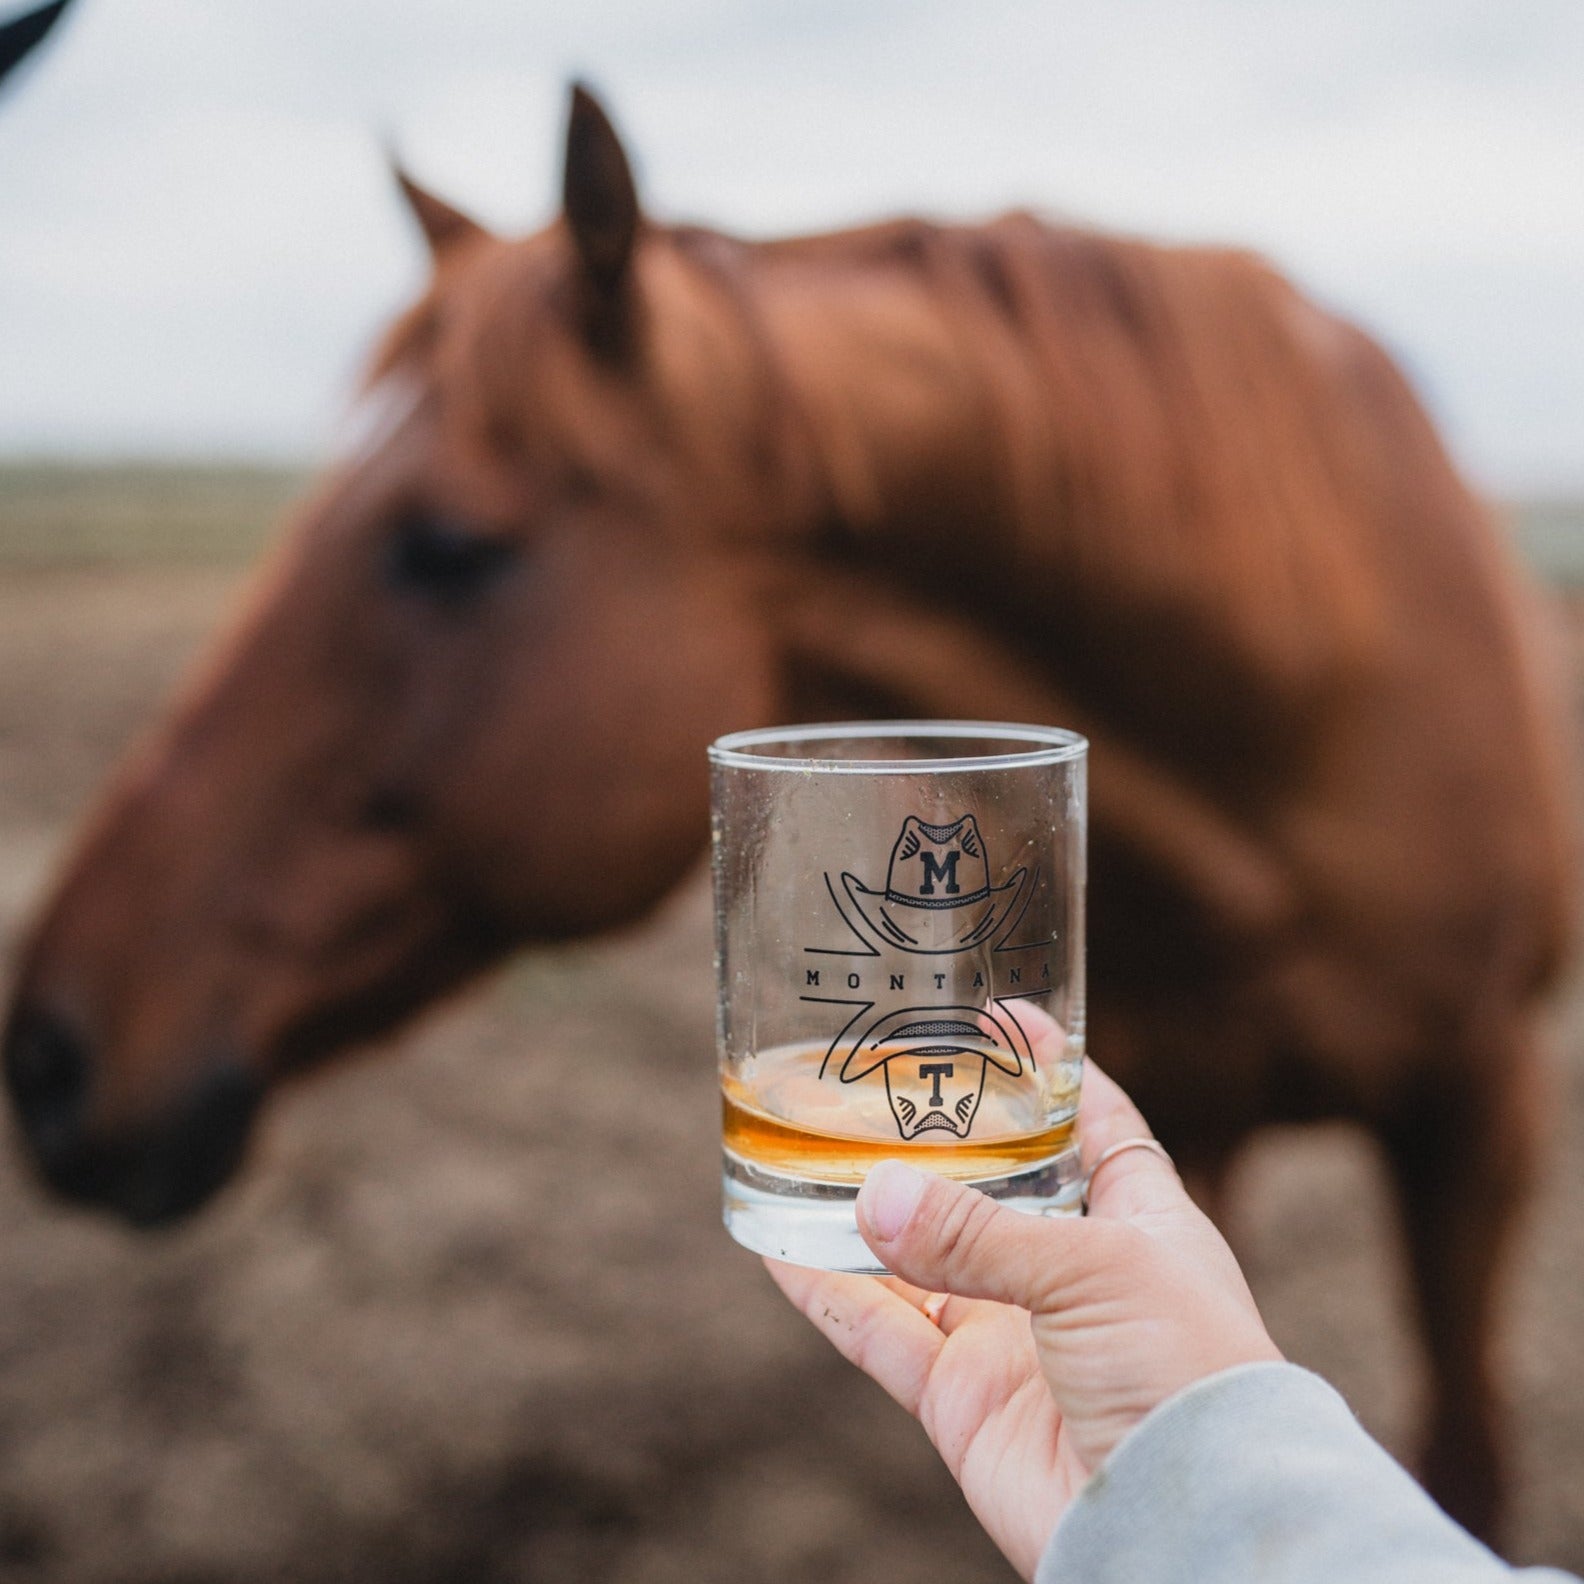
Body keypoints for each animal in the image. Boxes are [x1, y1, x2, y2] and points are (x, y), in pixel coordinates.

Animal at [3, 83, 1571, 1533]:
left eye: (448, 544)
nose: (50, 1052)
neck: (1285, 740)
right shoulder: (1199, 1109)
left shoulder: (1479, 1108)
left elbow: (1468, 1453)